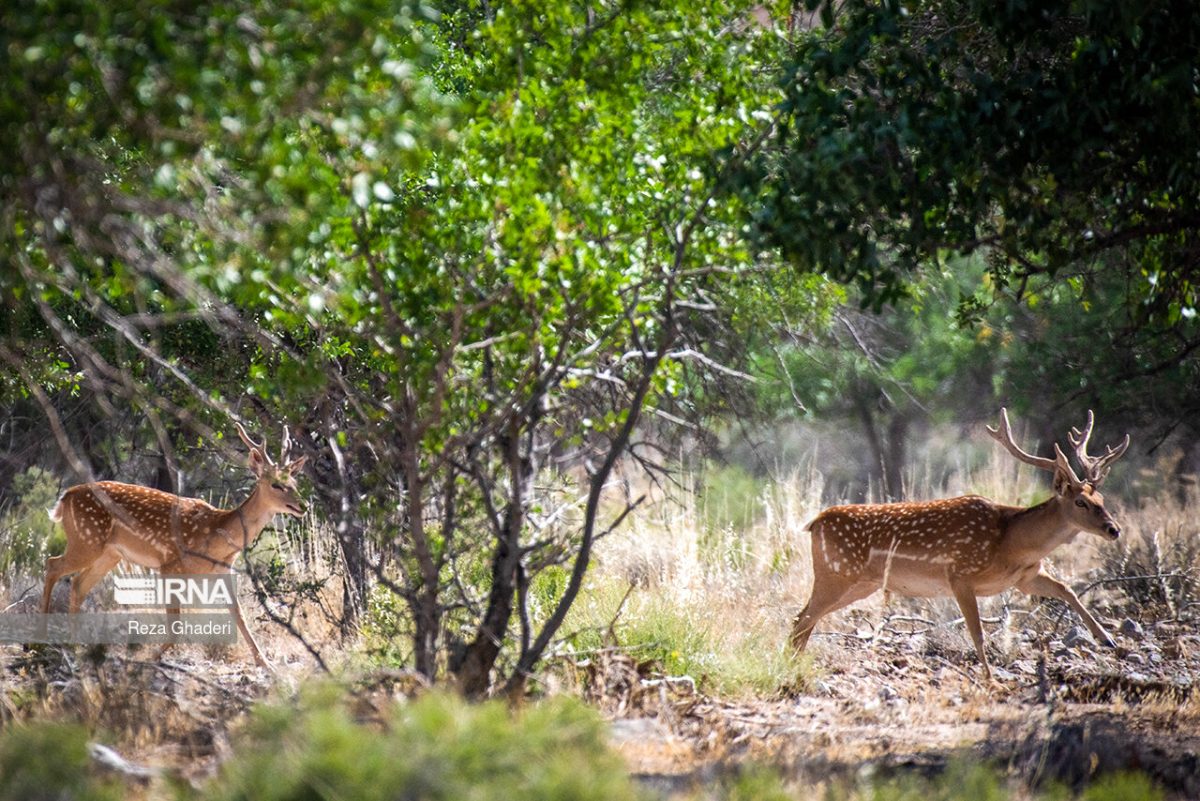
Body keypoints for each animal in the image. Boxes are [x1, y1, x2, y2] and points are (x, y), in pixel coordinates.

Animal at [40, 423, 308, 668]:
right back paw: (42, 635)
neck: (216, 537)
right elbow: (176, 623)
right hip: (87, 541)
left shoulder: (224, 570)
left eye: (295, 482)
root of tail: (66, 496)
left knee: (77, 583)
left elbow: (239, 614)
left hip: (109, 553)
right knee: (53, 565)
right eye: (276, 484)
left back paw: (75, 644)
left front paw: (266, 664)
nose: (303, 505)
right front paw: (151, 657)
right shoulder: (170, 563)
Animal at [790, 408, 1130, 681]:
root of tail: (814, 523)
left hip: (861, 583)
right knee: (802, 618)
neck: (1010, 544)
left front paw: (1107, 639)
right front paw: (991, 679)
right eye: (1080, 502)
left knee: (805, 619)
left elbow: (1067, 588)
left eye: (1101, 498)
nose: (1114, 529)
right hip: (836, 574)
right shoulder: (960, 575)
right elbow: (977, 633)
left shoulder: (1025, 578)